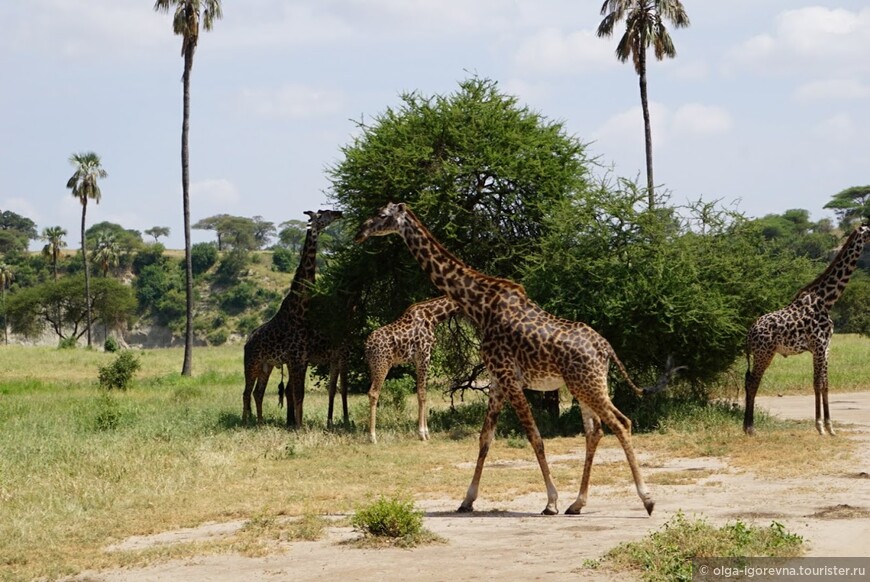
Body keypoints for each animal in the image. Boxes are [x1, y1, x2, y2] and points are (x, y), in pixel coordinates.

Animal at [244, 208, 346, 426]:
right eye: (323, 213)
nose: (339, 212)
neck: (301, 310)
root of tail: (247, 341)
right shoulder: (296, 359)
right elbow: (297, 393)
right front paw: (298, 426)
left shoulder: (301, 358)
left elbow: (298, 394)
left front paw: (297, 424)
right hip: (252, 363)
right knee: (246, 392)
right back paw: (245, 420)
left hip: (267, 366)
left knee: (257, 392)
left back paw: (259, 421)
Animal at [366, 296, 464, 448]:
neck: (433, 316)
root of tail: (367, 346)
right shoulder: (424, 356)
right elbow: (422, 394)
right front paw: (422, 434)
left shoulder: (420, 360)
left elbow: (422, 393)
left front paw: (427, 433)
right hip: (382, 365)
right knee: (373, 393)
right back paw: (373, 437)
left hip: (373, 367)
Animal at [744, 221, 870, 436]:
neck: (827, 300)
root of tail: (750, 332)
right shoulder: (818, 345)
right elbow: (818, 383)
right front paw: (820, 426)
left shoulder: (826, 347)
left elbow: (824, 384)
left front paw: (830, 427)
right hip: (764, 353)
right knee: (753, 382)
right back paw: (750, 428)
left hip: (760, 353)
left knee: (748, 381)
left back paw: (746, 426)